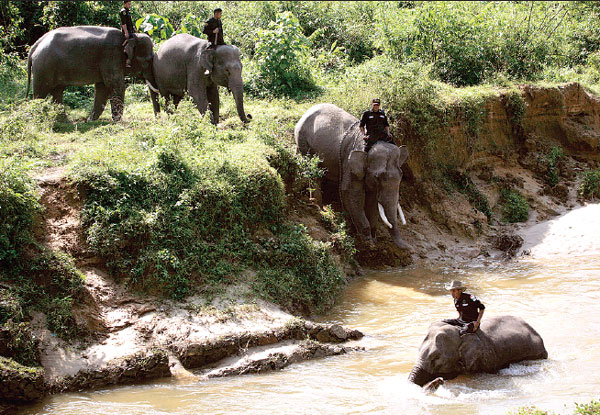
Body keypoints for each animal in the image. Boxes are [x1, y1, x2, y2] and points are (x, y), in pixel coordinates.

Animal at [296, 103, 412, 254]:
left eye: (401, 176)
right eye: (378, 177)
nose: (411, 249)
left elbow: (372, 201)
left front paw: (373, 239)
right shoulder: (349, 164)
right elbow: (351, 194)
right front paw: (368, 243)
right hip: (303, 141)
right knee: (313, 171)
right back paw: (318, 207)